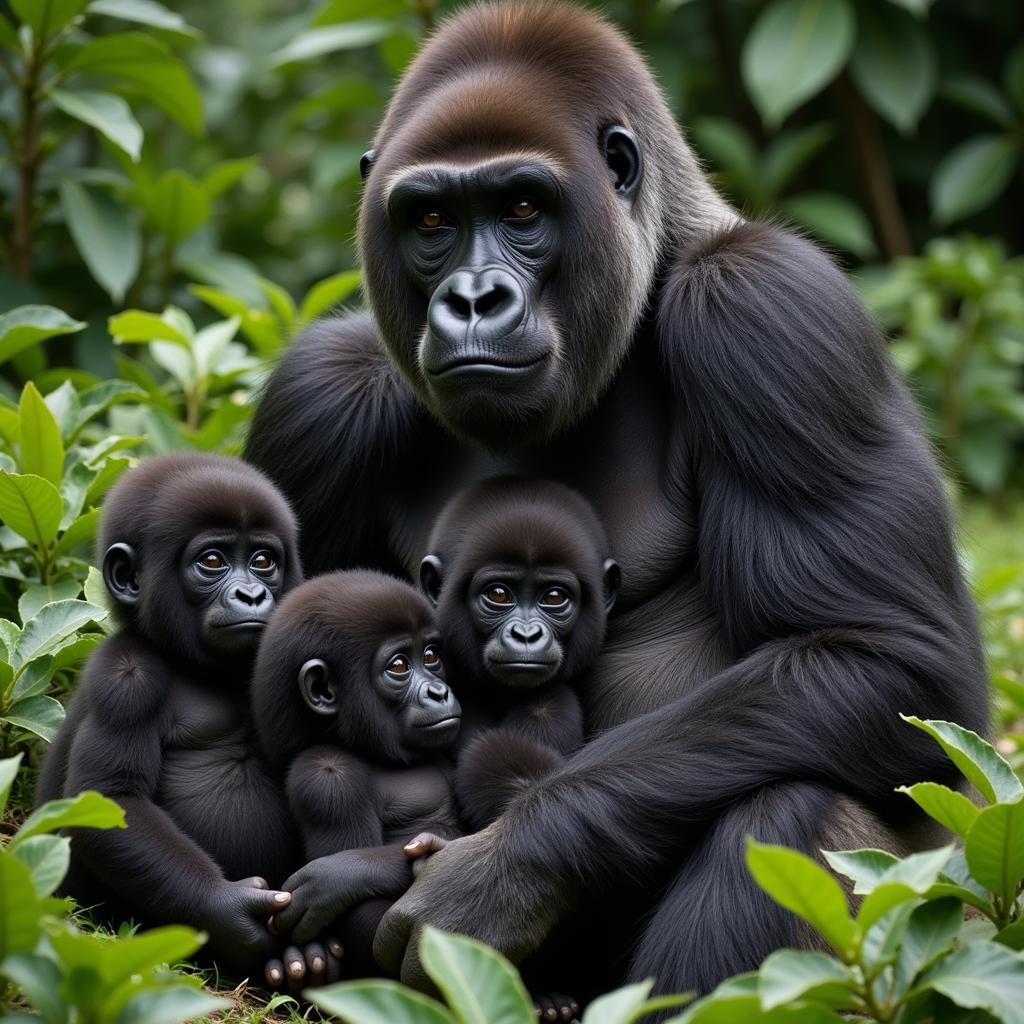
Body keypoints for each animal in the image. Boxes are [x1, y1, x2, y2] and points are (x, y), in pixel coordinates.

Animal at [37, 454, 327, 974]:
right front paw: (228, 910)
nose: (252, 596)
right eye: (212, 561)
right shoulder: (125, 675)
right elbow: (111, 800)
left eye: (263, 562)